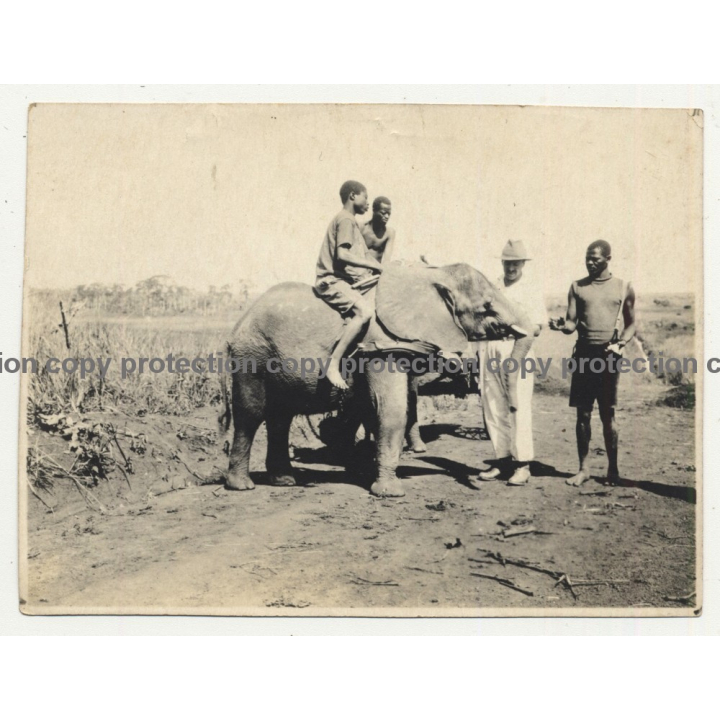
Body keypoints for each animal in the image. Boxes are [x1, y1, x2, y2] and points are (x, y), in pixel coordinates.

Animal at [221, 262, 535, 498]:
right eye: (486, 306)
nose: (478, 479)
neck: (434, 273)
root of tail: (237, 323)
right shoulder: (380, 343)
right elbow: (390, 406)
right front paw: (390, 492)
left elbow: (383, 405)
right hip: (252, 355)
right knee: (251, 413)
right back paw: (242, 486)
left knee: (280, 417)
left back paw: (284, 481)